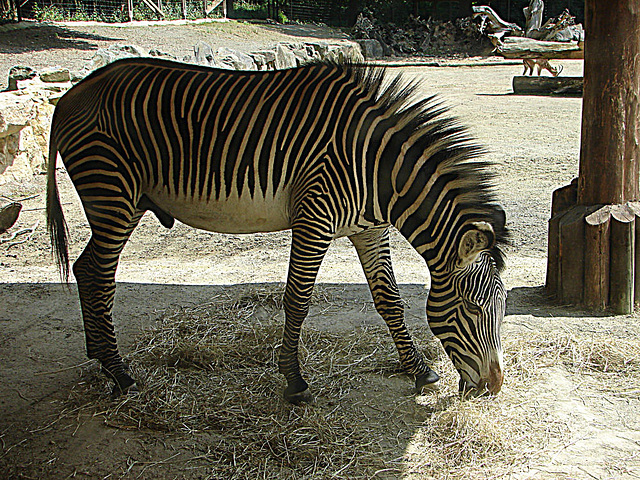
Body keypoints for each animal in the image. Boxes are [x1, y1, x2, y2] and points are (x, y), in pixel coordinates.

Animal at [46, 56, 510, 402]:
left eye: (503, 307)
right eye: (472, 309)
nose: (493, 388)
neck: (378, 172)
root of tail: (71, 94)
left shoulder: (369, 229)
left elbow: (390, 300)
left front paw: (419, 371)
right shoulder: (314, 219)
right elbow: (298, 301)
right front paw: (294, 381)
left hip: (120, 199)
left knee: (88, 270)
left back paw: (101, 358)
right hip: (111, 192)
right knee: (96, 273)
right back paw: (118, 372)